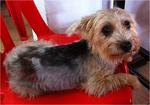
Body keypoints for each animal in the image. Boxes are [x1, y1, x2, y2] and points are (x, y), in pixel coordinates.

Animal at [3, 7, 141, 97]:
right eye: (106, 29)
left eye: (127, 24)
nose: (128, 45)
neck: (98, 53)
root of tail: (9, 60)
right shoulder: (96, 84)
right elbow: (120, 76)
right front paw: (135, 81)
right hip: (31, 88)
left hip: (42, 42)